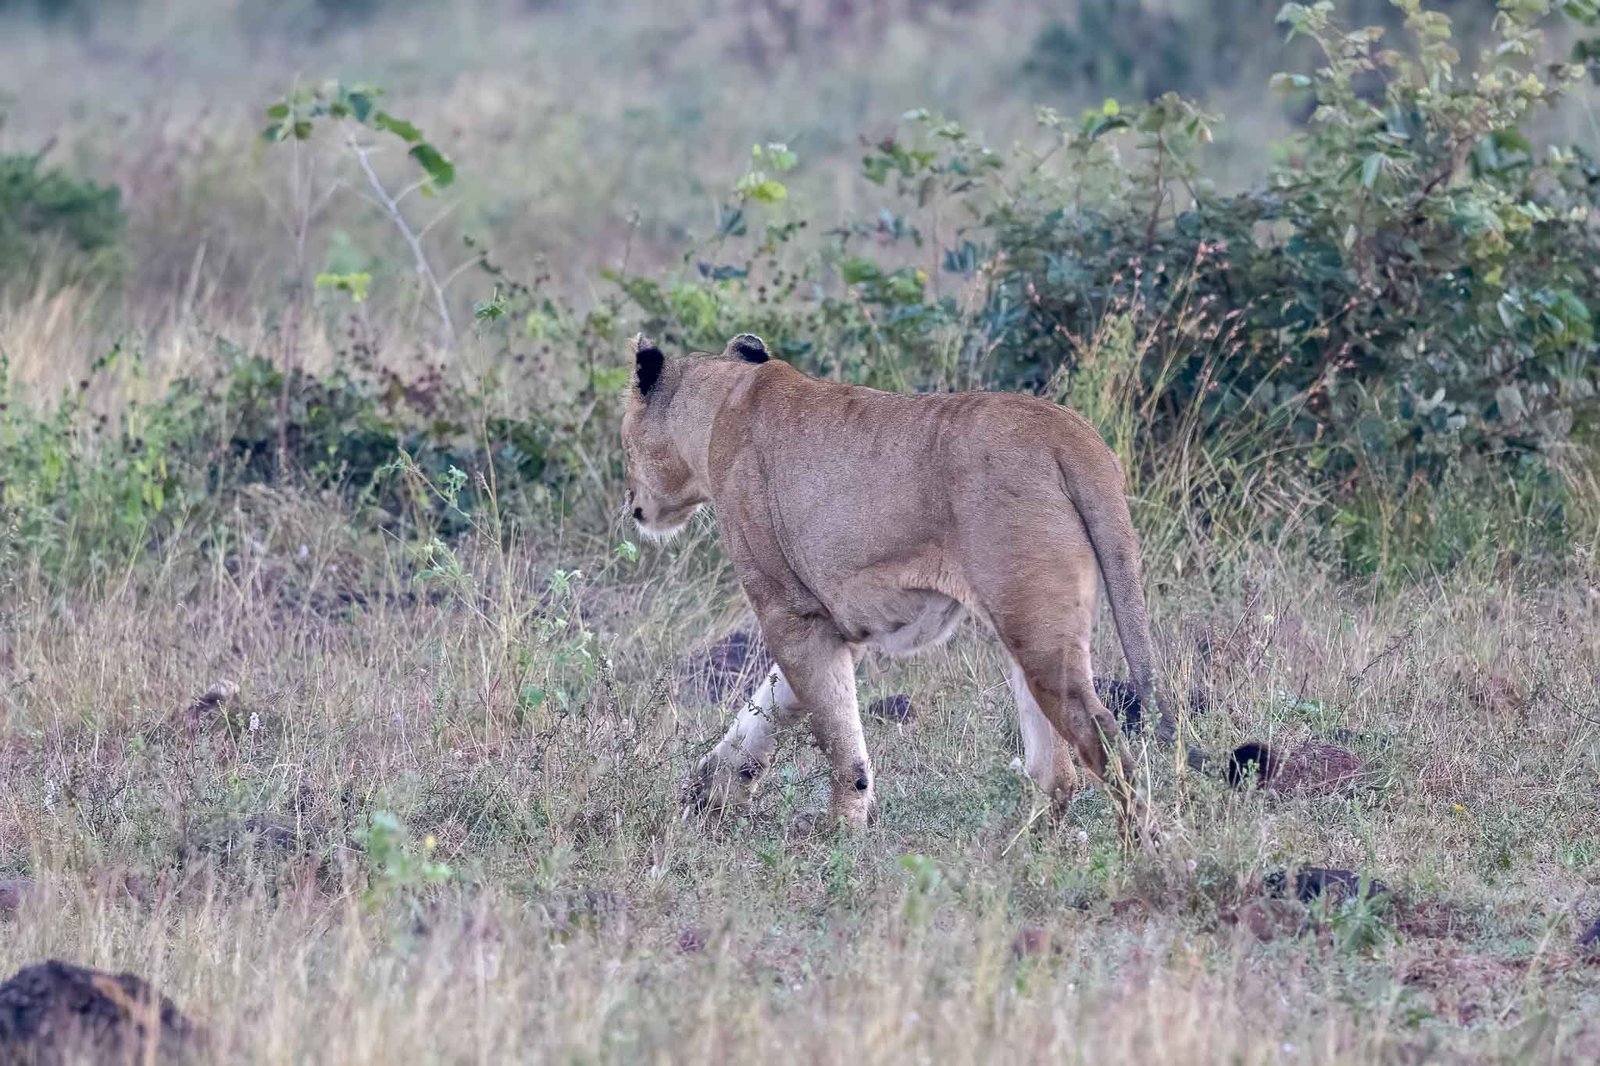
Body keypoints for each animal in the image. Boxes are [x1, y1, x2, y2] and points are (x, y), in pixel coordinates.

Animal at [621, 332, 1169, 833]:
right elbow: (774, 704)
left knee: (1099, 736)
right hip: (1026, 629)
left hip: (1037, 630)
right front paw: (709, 787)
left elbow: (833, 731)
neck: (721, 401)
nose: (631, 504)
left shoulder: (789, 609)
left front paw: (841, 831)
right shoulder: (831, 619)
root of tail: (1070, 431)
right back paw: (1010, 849)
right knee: (1056, 771)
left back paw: (1137, 850)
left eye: (625, 445)